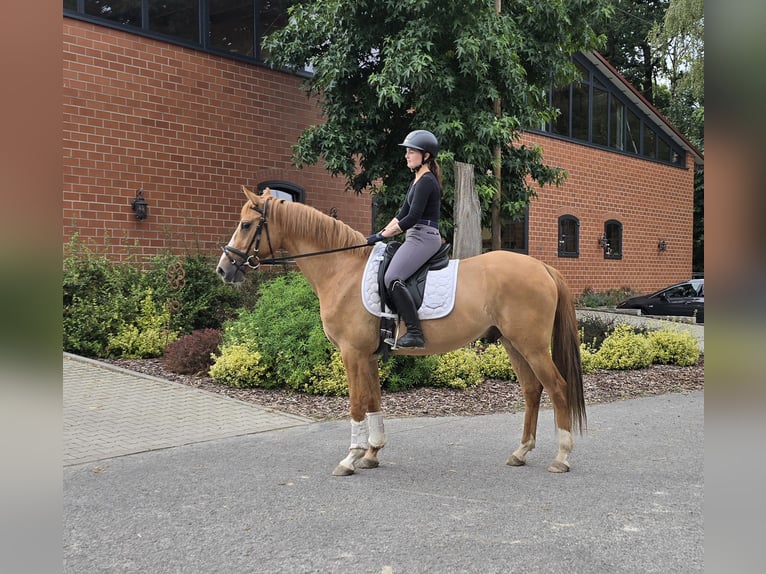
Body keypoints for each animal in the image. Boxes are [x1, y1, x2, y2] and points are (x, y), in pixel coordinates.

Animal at [216, 187, 588, 480]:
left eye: (246, 225)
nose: (223, 269)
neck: (343, 270)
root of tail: (542, 267)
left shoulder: (351, 353)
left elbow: (356, 404)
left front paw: (350, 458)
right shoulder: (367, 356)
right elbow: (373, 401)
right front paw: (372, 454)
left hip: (532, 346)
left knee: (557, 388)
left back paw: (562, 457)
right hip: (513, 343)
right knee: (532, 390)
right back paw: (521, 452)